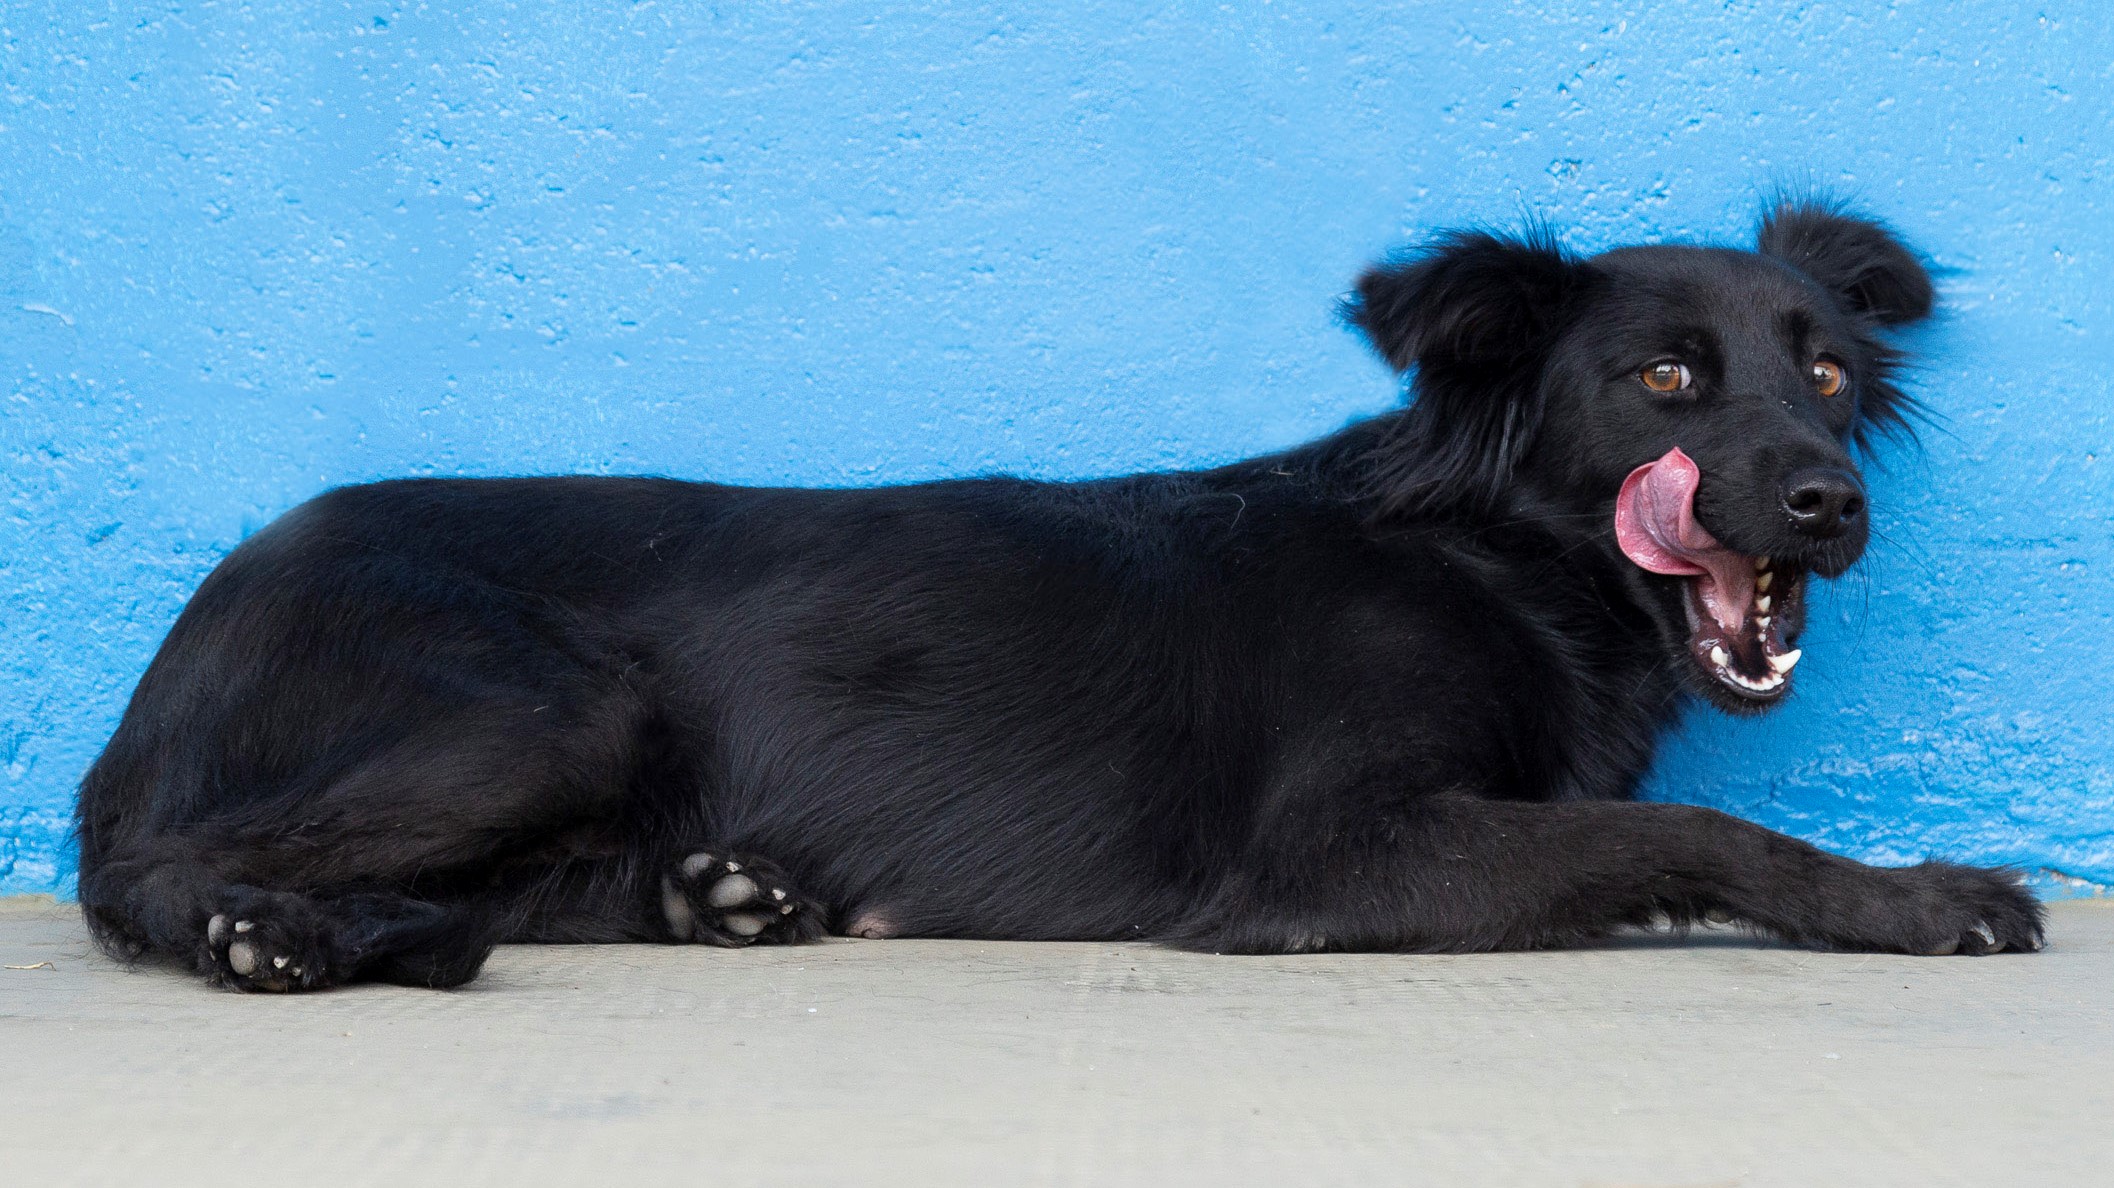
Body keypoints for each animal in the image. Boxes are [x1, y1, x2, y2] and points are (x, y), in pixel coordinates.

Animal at [78, 198, 2046, 985]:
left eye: (1820, 369)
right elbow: (1690, 836)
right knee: (151, 870)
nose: (1831, 502)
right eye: (1660, 381)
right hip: (544, 707)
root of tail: (196, 619)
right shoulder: (1330, 852)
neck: (1488, 557)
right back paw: (260, 936)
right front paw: (1915, 895)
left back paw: (726, 895)